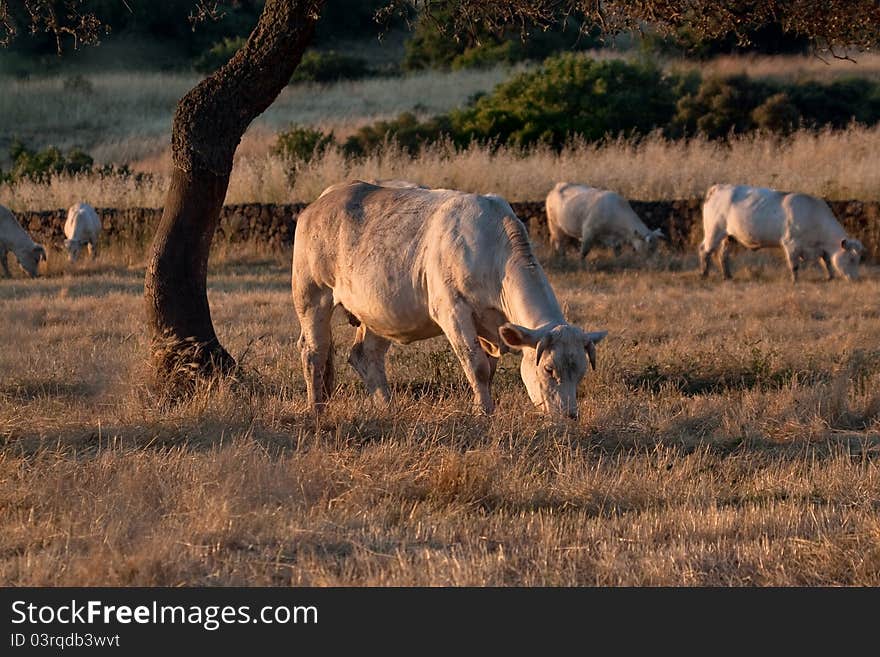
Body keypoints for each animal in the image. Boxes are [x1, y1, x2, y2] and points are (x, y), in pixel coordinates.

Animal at [292, 178, 608, 420]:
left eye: (581, 371)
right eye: (549, 369)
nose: (569, 415)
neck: (494, 252)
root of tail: (322, 201)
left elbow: (489, 369)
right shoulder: (453, 311)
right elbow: (477, 367)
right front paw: (484, 413)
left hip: (378, 311)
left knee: (365, 355)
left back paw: (387, 407)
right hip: (312, 295)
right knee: (313, 352)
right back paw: (316, 409)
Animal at [700, 183, 868, 280]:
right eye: (852, 259)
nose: (855, 279)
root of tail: (719, 188)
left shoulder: (821, 249)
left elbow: (827, 262)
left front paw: (830, 277)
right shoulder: (791, 244)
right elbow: (794, 265)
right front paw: (795, 281)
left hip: (729, 237)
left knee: (723, 255)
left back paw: (727, 276)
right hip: (713, 232)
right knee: (705, 251)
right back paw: (704, 274)